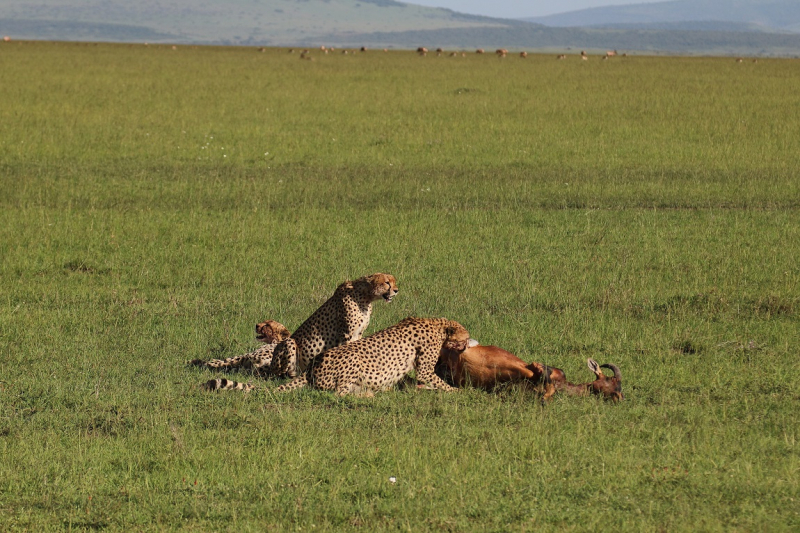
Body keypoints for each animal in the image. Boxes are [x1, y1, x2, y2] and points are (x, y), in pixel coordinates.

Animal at [202, 270, 398, 390]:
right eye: (387, 282)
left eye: (393, 282)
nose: (396, 290)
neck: (366, 296)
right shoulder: (347, 334)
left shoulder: (359, 334)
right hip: (288, 345)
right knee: (278, 374)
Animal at [278, 316, 472, 394]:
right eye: (466, 336)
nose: (469, 342)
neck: (438, 326)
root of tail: (311, 368)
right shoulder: (424, 369)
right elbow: (437, 381)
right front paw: (456, 391)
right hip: (352, 360)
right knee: (339, 393)